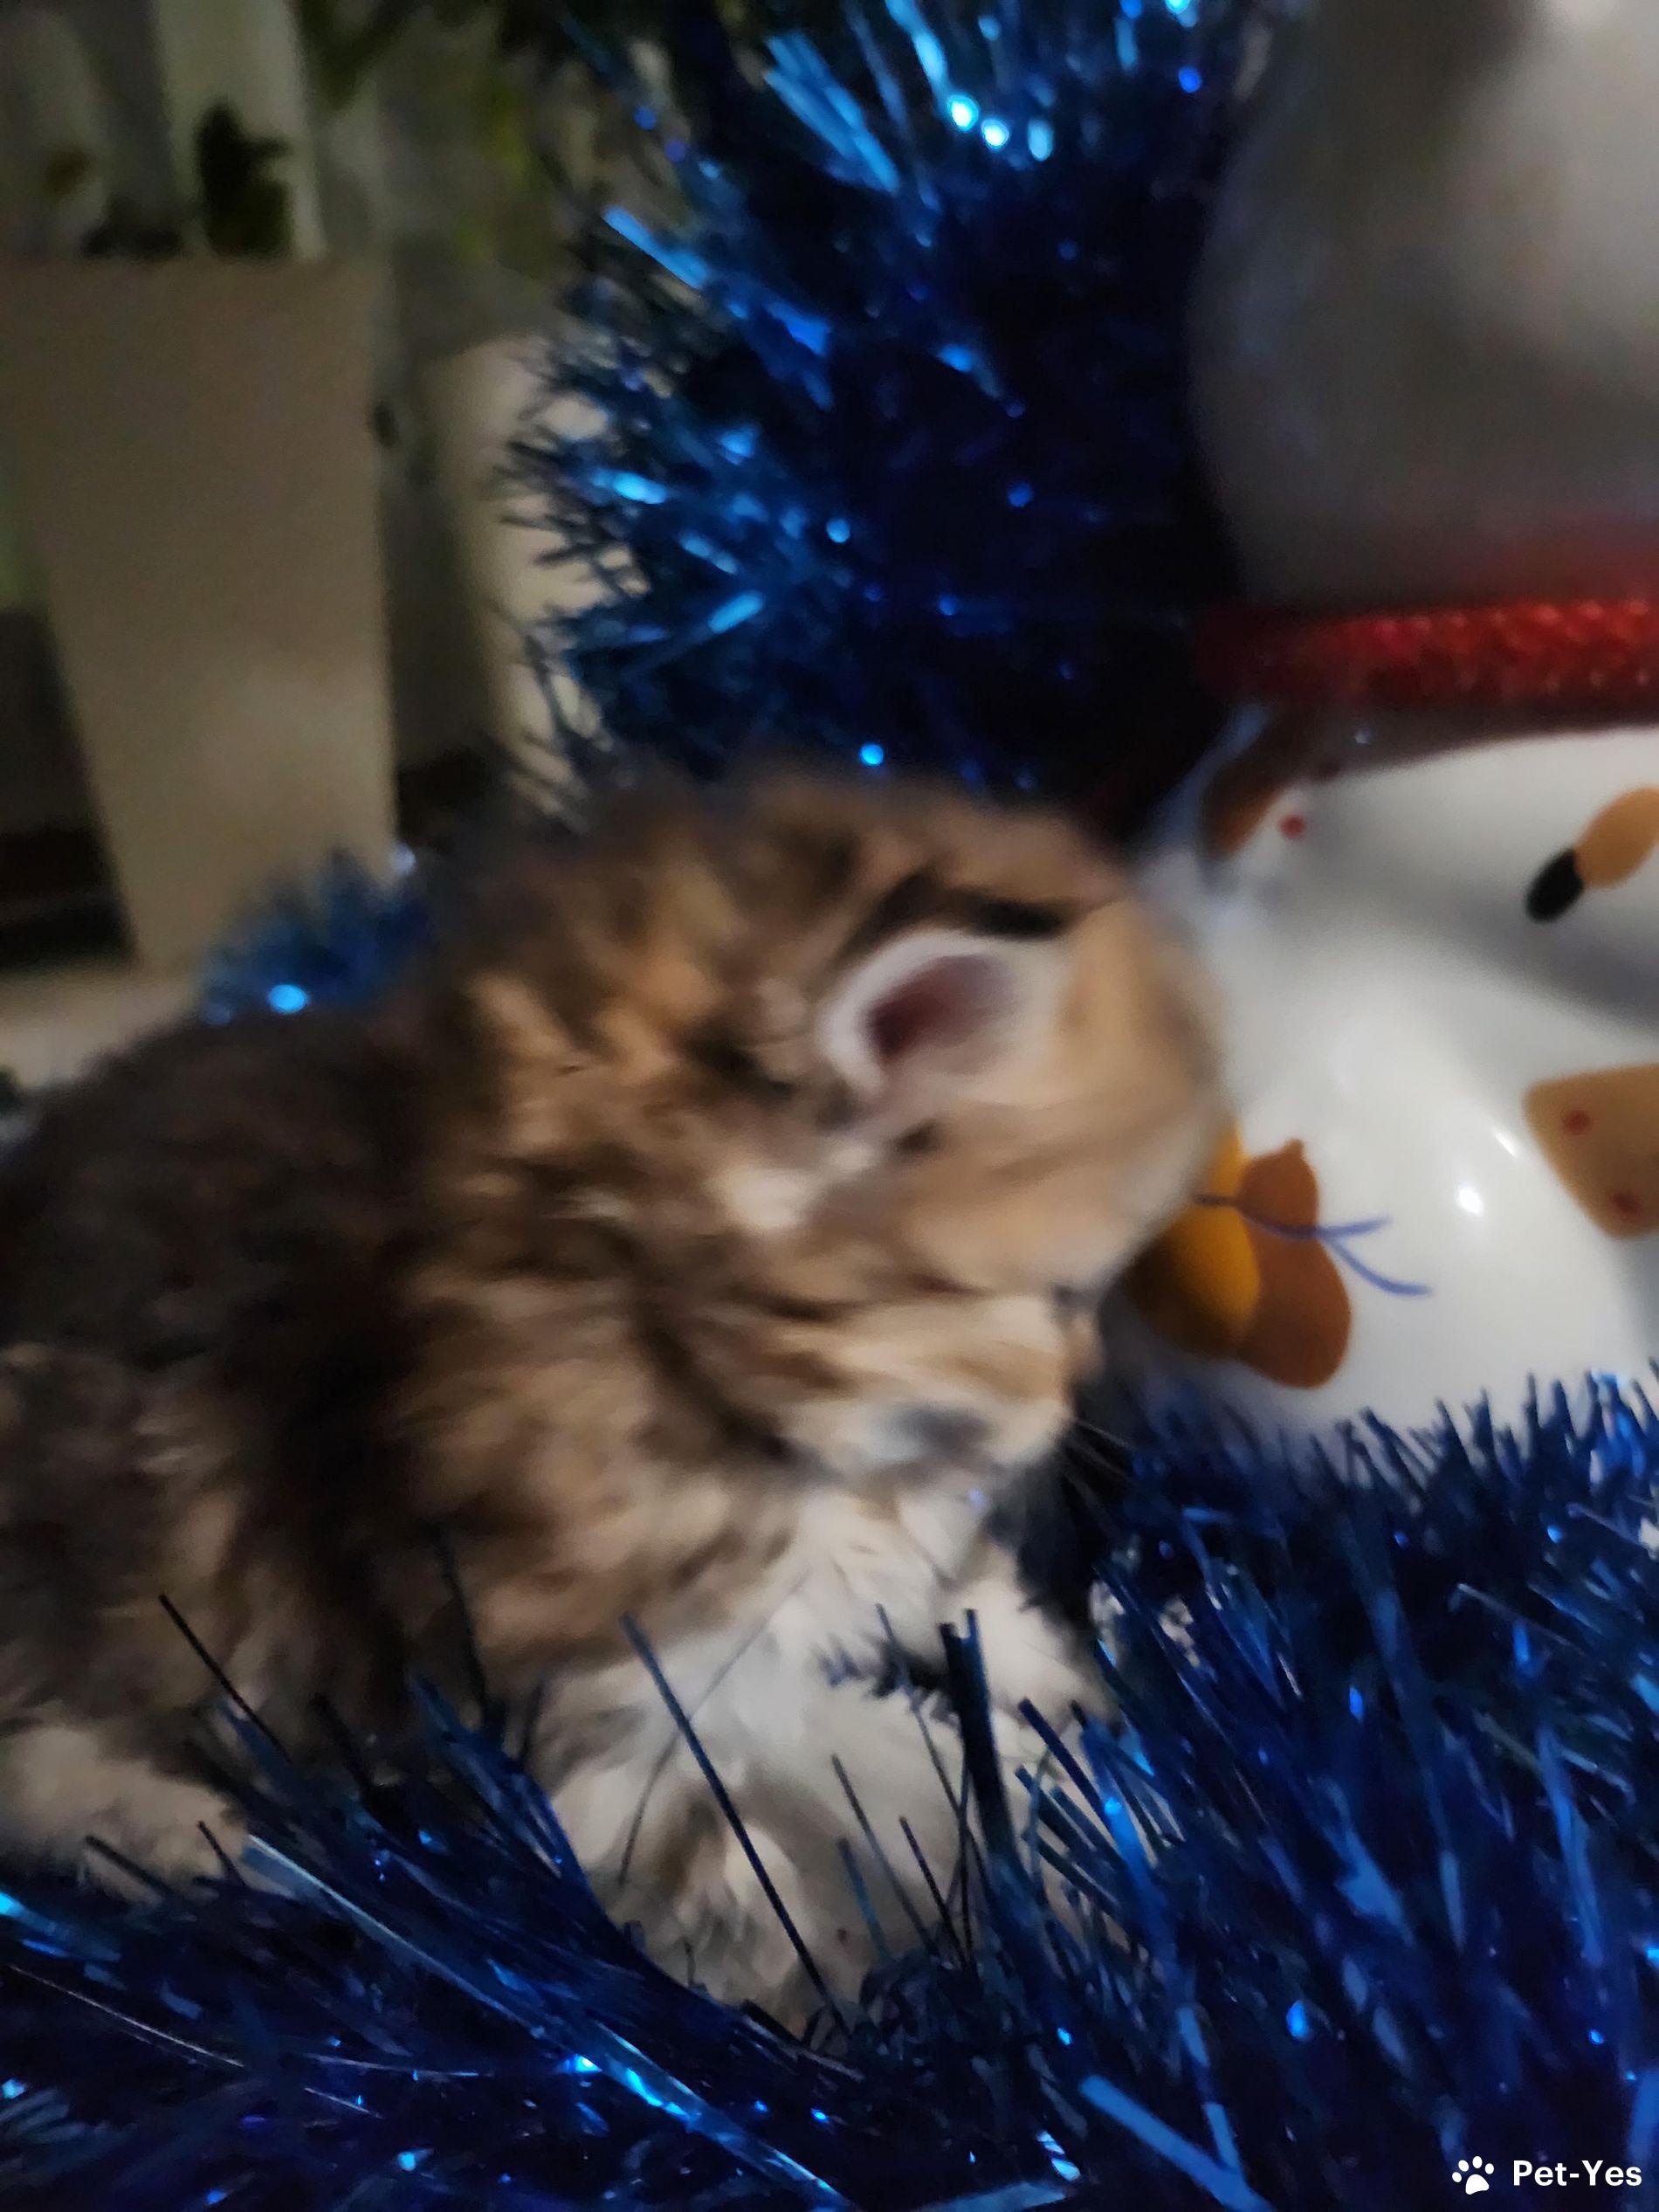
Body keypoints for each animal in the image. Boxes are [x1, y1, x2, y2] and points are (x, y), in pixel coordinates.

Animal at [0, 770, 1220, 2014]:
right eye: (1065, 1299)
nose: (1081, 1404)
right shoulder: (591, 1703)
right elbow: (828, 1815)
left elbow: (962, 1606)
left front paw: (1080, 1694)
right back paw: (199, 1837)